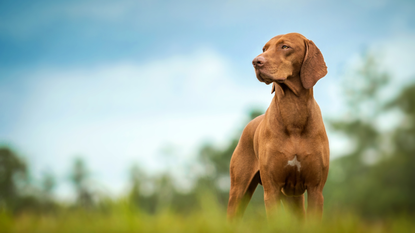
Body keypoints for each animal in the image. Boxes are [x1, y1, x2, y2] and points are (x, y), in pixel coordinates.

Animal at [226, 32, 330, 220]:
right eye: (264, 49)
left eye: (285, 46)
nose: (256, 61)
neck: (293, 112)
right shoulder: (272, 190)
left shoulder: (315, 189)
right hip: (239, 191)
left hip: (294, 198)